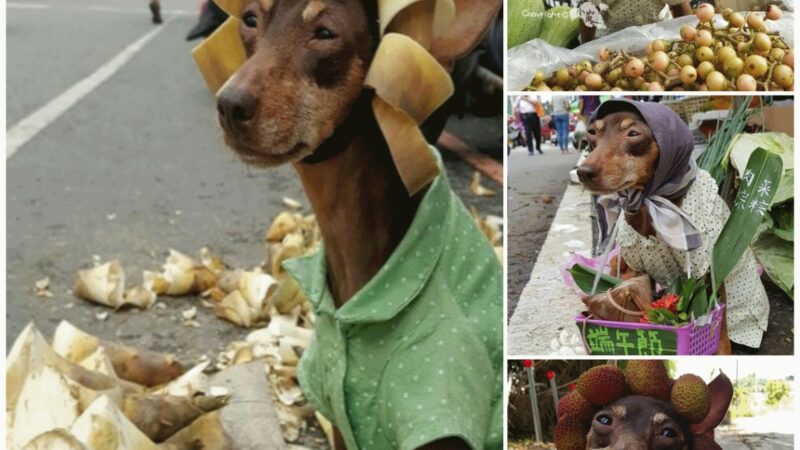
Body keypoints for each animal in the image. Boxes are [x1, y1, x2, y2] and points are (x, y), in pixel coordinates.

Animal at [580, 99, 768, 356]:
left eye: (633, 133)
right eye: (592, 132)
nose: (583, 172)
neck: (650, 201)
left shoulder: (708, 269)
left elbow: (720, 322)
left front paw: (721, 350)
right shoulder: (638, 268)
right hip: (620, 260)